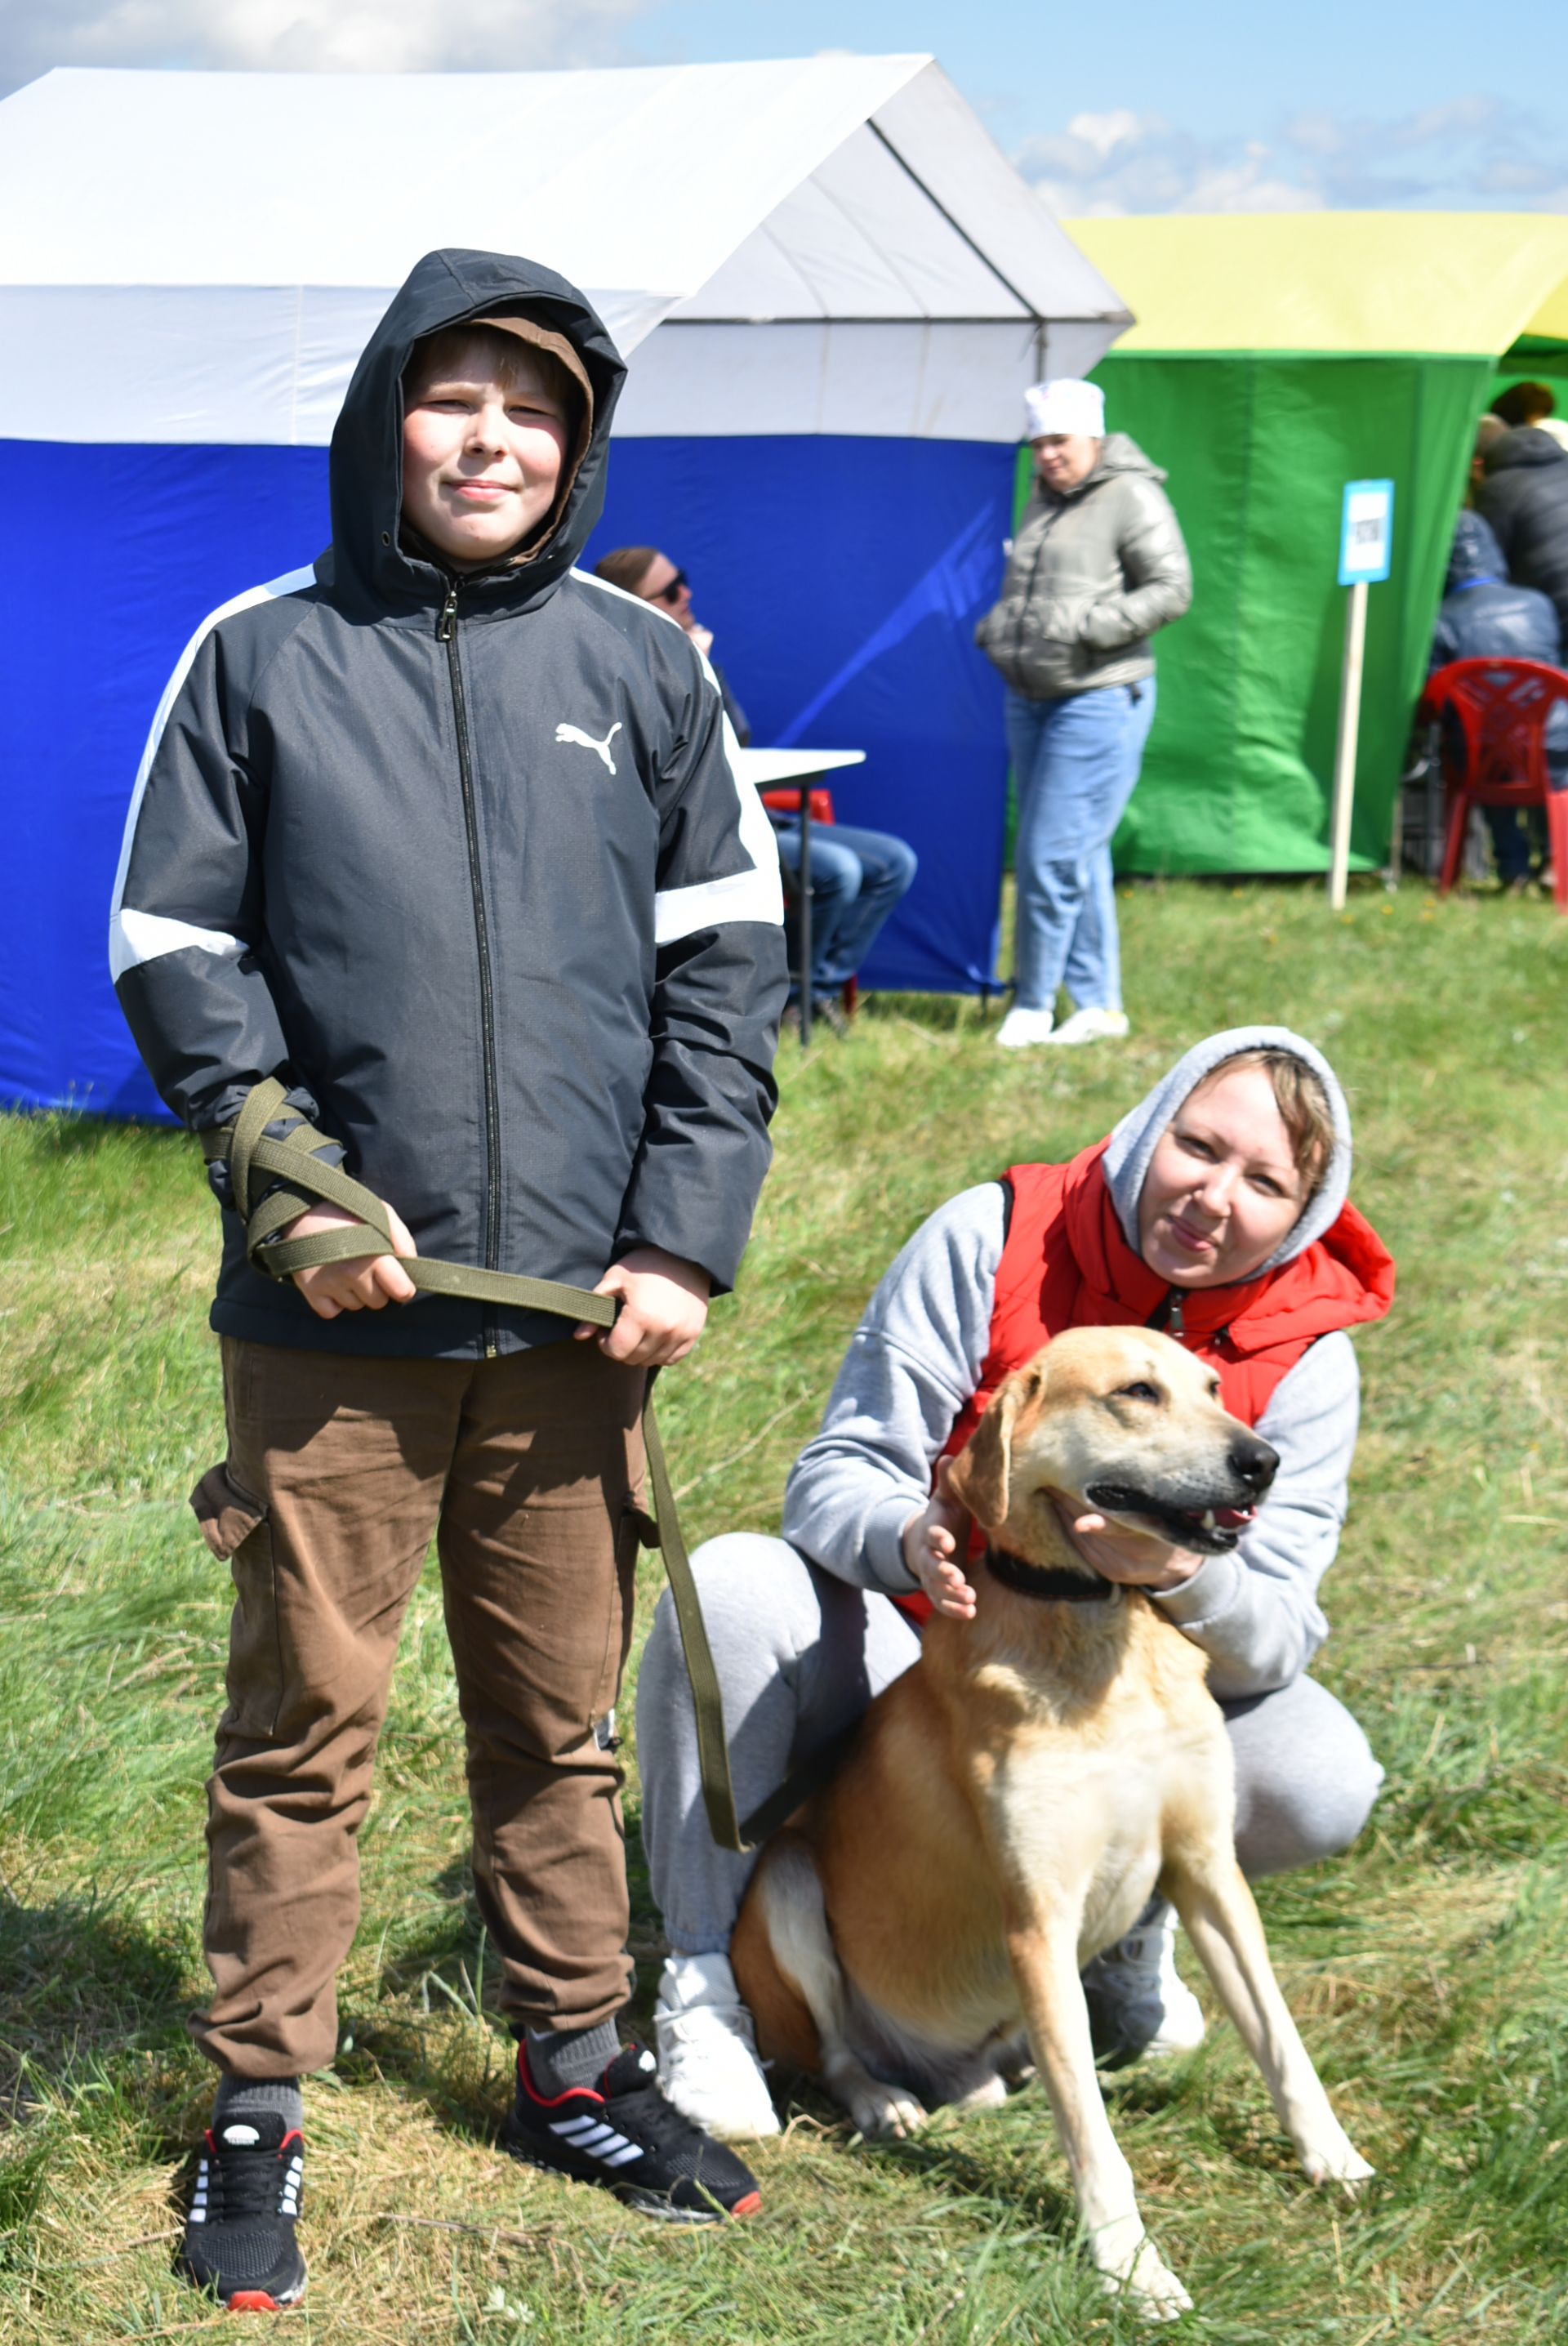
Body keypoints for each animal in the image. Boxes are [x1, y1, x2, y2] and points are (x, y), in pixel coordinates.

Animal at [736, 1332, 1369, 2317]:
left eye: (1213, 1385)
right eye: (1137, 1392)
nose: (1263, 1461)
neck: (1095, 1626)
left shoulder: (1208, 1875)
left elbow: (1281, 2041)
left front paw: (1332, 2157)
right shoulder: (1038, 1923)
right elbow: (1093, 2138)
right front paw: (1131, 2266)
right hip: (788, 1883)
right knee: (835, 2050)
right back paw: (882, 2100)